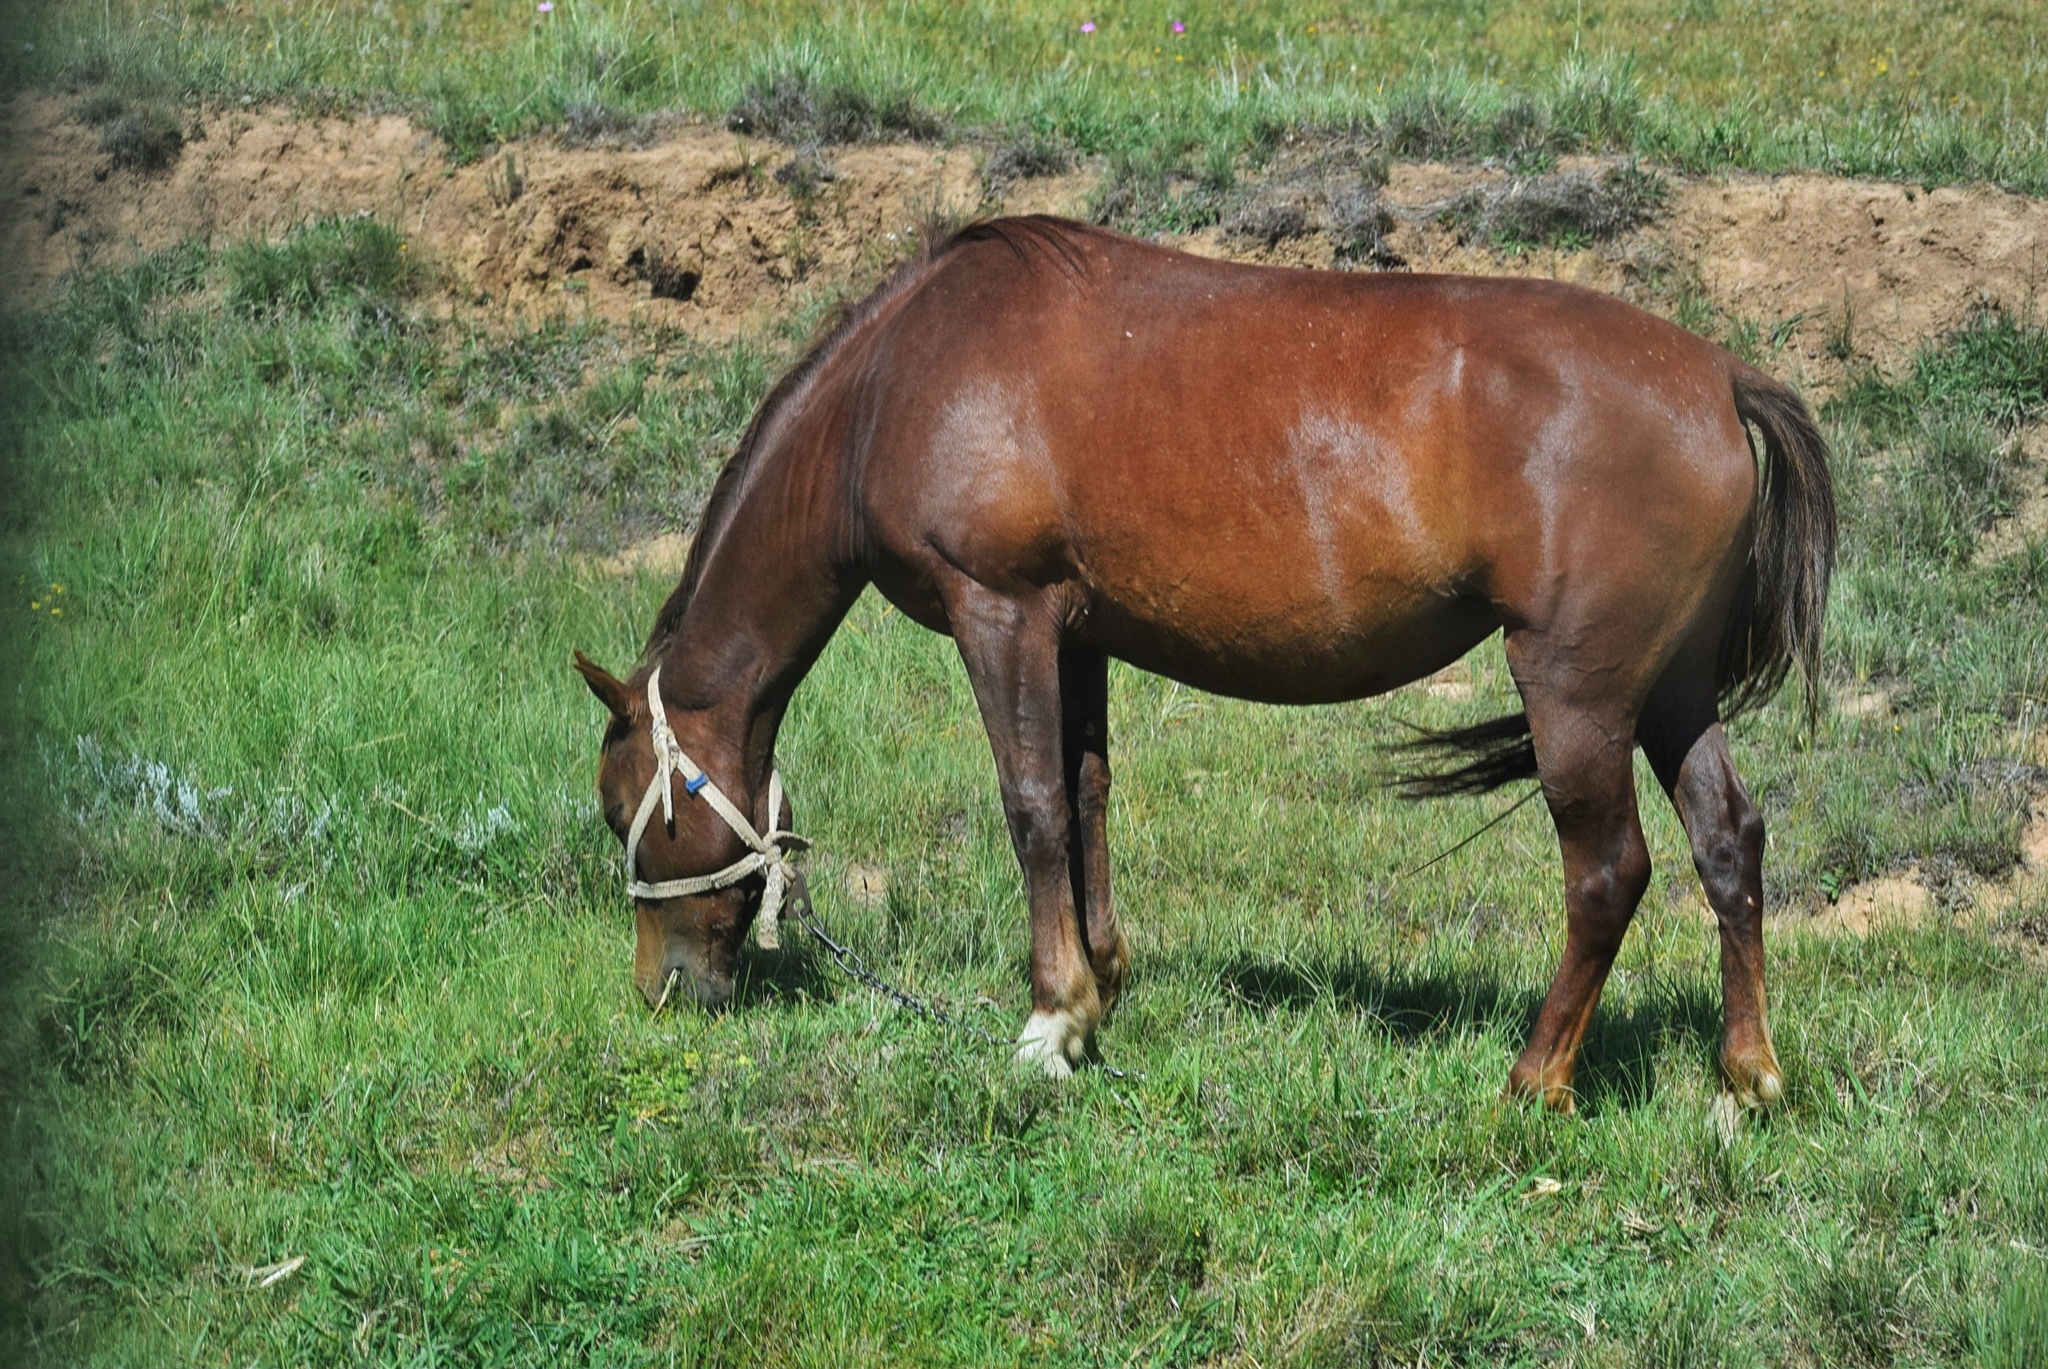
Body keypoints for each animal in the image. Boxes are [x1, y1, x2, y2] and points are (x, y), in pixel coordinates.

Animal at [569, 214, 1835, 1114]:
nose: (662, 991)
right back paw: (1746, 1077)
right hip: (1670, 692)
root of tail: (1718, 377)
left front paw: (1050, 1021)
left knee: (1607, 873)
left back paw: (1534, 1080)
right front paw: (1099, 991)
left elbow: (1030, 804)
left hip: (1577, 693)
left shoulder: (1001, 612)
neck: (894, 379)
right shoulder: (1074, 632)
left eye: (626, 809)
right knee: (1727, 840)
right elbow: (1084, 794)